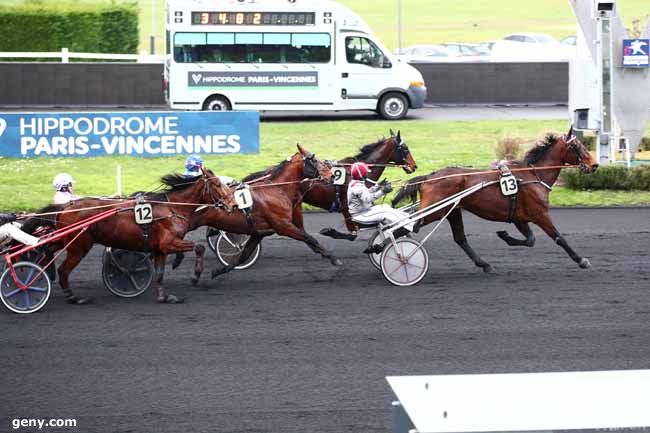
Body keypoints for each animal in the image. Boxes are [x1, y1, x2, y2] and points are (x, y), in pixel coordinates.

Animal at [25, 169, 234, 304]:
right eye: (217, 184)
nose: (232, 204)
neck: (172, 208)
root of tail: (66, 207)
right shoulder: (168, 243)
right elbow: (199, 247)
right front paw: (195, 274)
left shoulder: (159, 248)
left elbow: (159, 274)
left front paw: (164, 297)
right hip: (79, 246)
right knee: (63, 270)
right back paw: (73, 297)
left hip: (66, 240)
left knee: (47, 248)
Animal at [173, 144, 334, 280]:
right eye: (315, 160)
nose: (331, 175)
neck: (277, 190)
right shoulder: (284, 227)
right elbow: (310, 238)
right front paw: (333, 259)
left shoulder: (259, 233)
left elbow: (243, 256)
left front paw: (218, 271)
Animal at [390, 126, 596, 272]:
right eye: (577, 146)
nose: (594, 164)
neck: (533, 175)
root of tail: (430, 177)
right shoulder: (540, 213)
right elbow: (559, 238)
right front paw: (581, 260)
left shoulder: (519, 217)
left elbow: (530, 240)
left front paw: (505, 236)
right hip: (434, 211)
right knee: (405, 227)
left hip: (453, 211)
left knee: (460, 239)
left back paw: (485, 264)